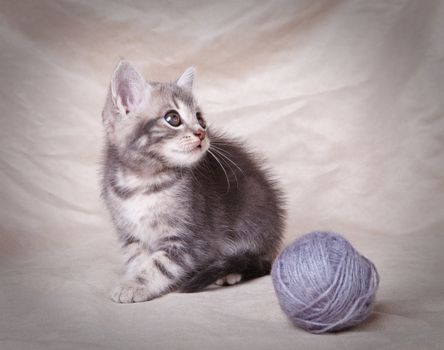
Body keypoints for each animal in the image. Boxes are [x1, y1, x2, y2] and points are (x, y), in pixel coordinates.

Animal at [100, 60, 284, 304]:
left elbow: (159, 265)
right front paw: (133, 278)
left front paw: (135, 285)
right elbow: (138, 259)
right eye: (173, 118)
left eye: (201, 119)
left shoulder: (191, 239)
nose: (201, 133)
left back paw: (230, 273)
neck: (143, 180)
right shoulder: (130, 234)